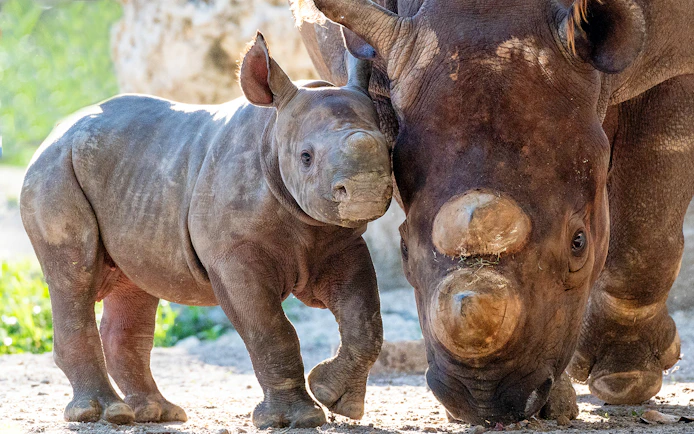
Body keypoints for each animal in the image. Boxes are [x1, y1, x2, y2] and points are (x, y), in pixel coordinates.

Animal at [20, 33, 392, 428]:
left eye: (390, 148)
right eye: (306, 157)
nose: (366, 190)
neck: (273, 134)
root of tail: (56, 131)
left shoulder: (340, 241)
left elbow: (365, 320)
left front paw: (335, 399)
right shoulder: (232, 255)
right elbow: (270, 329)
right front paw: (298, 418)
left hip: (130, 175)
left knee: (133, 285)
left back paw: (156, 413)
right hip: (54, 170)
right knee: (74, 278)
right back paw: (105, 413)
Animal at [293, 0, 694, 425]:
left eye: (579, 244)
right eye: (402, 249)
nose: (484, 400)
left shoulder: (676, 67)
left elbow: (648, 226)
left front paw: (624, 378)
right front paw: (553, 404)